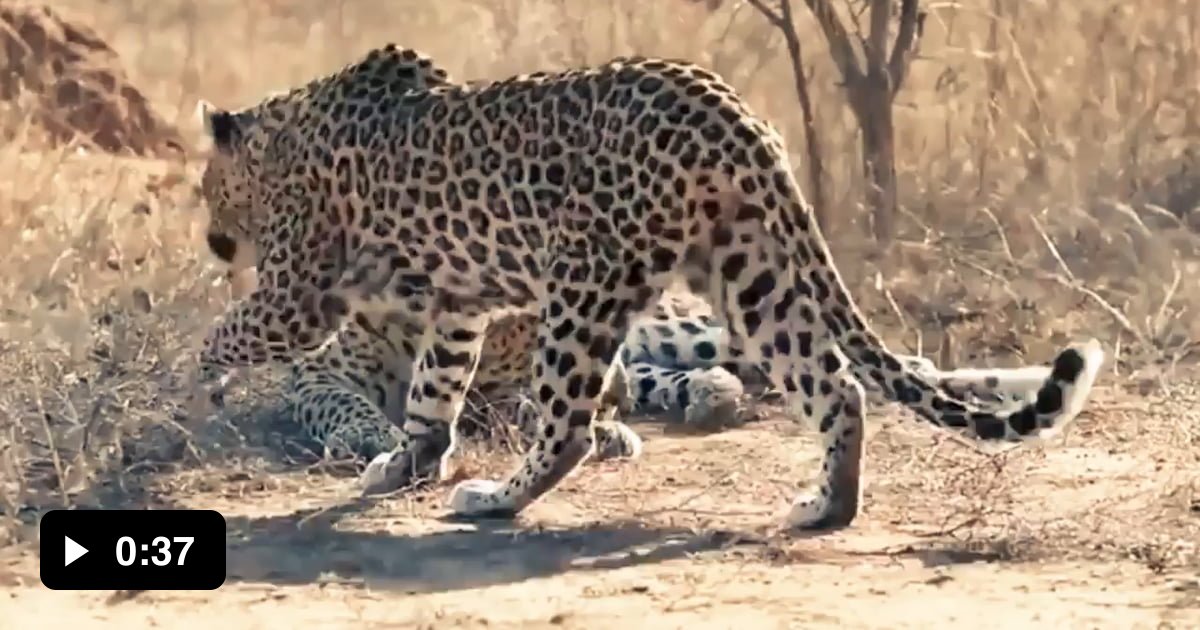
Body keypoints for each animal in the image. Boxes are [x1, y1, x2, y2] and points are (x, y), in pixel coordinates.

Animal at [196, 41, 1104, 528]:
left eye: (203, 188)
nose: (208, 238)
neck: (284, 137)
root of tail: (725, 106)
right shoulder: (454, 307)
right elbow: (431, 393)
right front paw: (407, 462)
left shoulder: (299, 295)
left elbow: (229, 330)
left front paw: (201, 376)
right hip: (748, 276)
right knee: (838, 386)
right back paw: (824, 508)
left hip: (585, 284)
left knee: (566, 426)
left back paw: (497, 498)